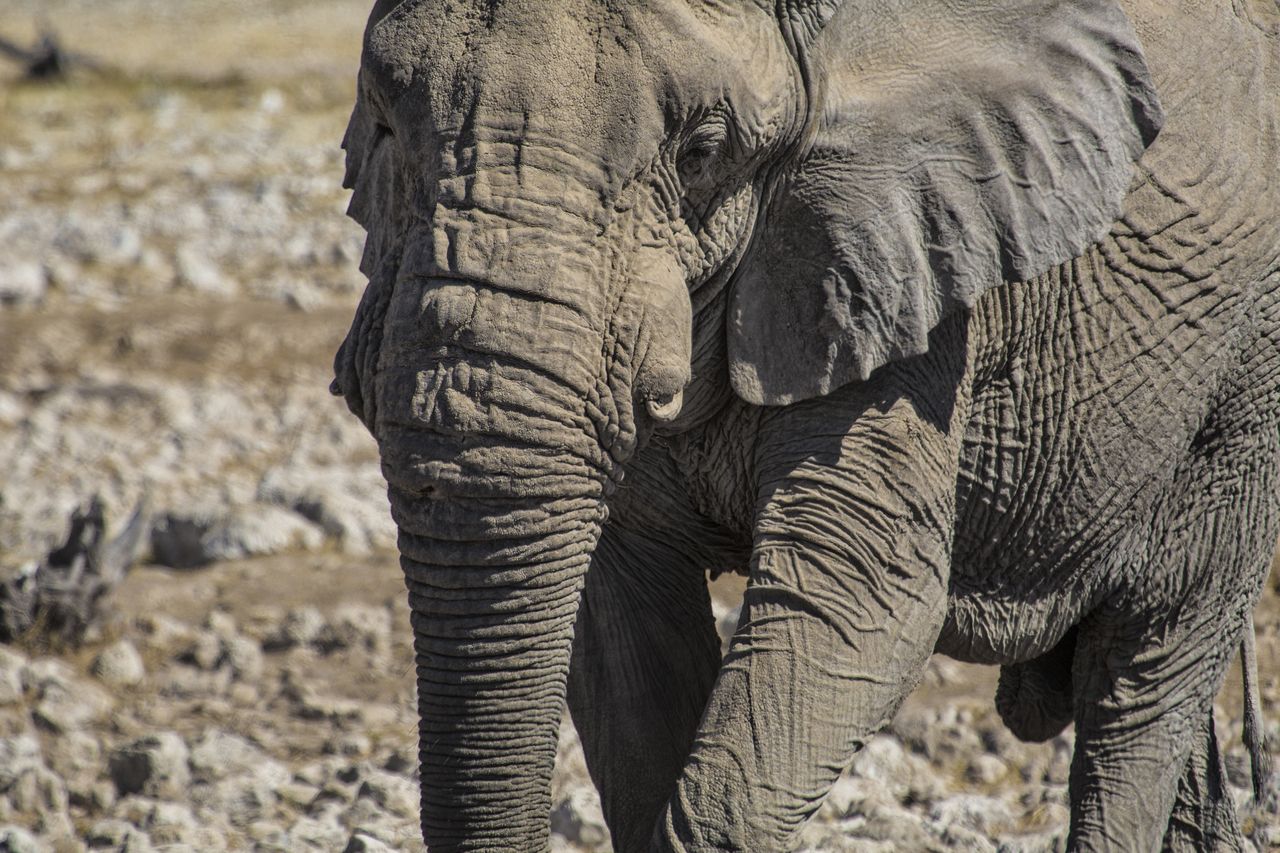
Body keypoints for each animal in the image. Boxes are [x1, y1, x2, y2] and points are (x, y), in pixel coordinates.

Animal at [332, 0, 1280, 845]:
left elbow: (863, 593)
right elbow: (625, 626)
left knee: (1143, 672)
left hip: (1241, 390)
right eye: (380, 125)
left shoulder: (901, 273)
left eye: (702, 154)